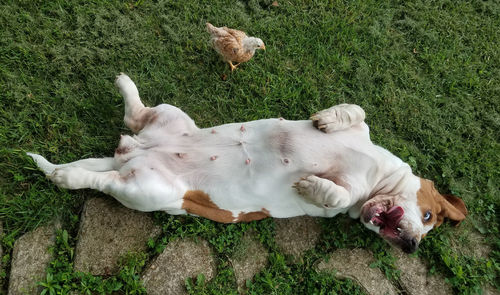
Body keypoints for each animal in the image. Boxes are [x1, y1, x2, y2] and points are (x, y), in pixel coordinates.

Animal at [27, 73, 466, 254]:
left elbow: (337, 195)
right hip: (170, 118)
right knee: (135, 117)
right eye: (428, 216)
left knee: (101, 180)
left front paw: (312, 185)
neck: (374, 179)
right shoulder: (363, 130)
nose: (410, 246)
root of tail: (132, 154)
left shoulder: (345, 201)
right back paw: (125, 85)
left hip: (144, 190)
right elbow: (357, 109)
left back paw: (66, 175)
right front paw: (327, 119)